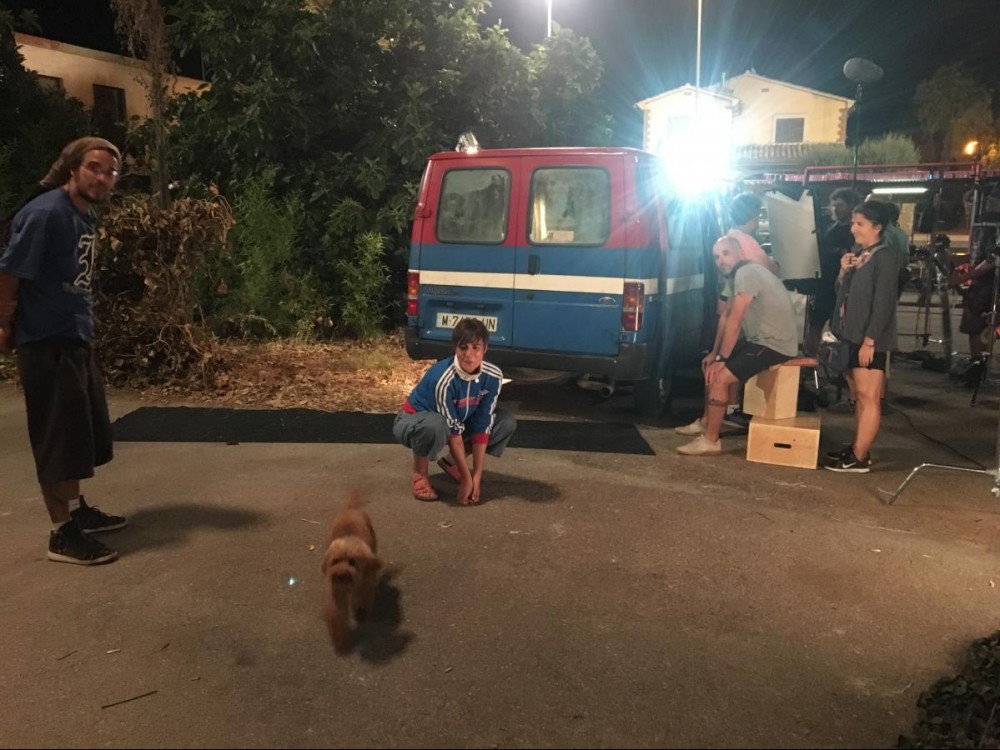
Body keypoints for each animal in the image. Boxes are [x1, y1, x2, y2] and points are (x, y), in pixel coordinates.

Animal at [321, 490, 382, 655]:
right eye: (335, 561)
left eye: (352, 562)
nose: (340, 574)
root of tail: (351, 508)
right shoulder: (337, 595)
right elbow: (336, 616)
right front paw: (339, 640)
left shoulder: (365, 587)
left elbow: (363, 602)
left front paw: (360, 615)